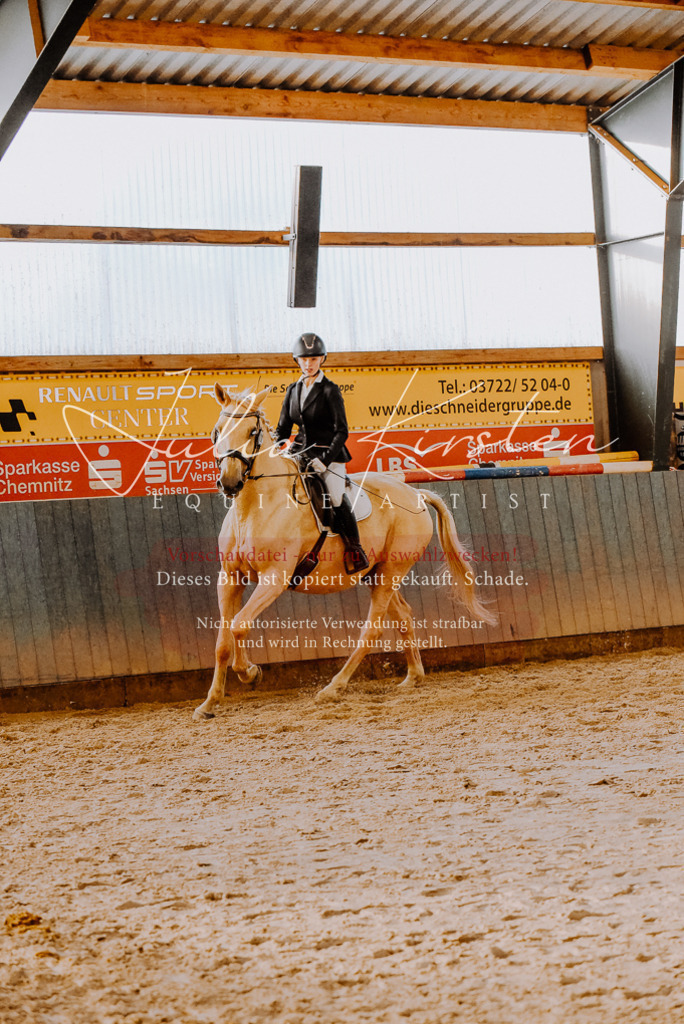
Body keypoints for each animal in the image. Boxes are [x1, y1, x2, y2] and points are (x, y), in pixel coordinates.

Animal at [193, 384, 494, 721]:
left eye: (253, 431)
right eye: (217, 430)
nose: (229, 482)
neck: (256, 507)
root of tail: (415, 493)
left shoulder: (274, 578)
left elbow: (239, 625)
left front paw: (250, 673)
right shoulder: (230, 578)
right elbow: (223, 641)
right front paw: (209, 704)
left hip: (391, 571)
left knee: (372, 629)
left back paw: (333, 688)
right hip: (376, 573)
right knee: (403, 615)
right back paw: (413, 677)